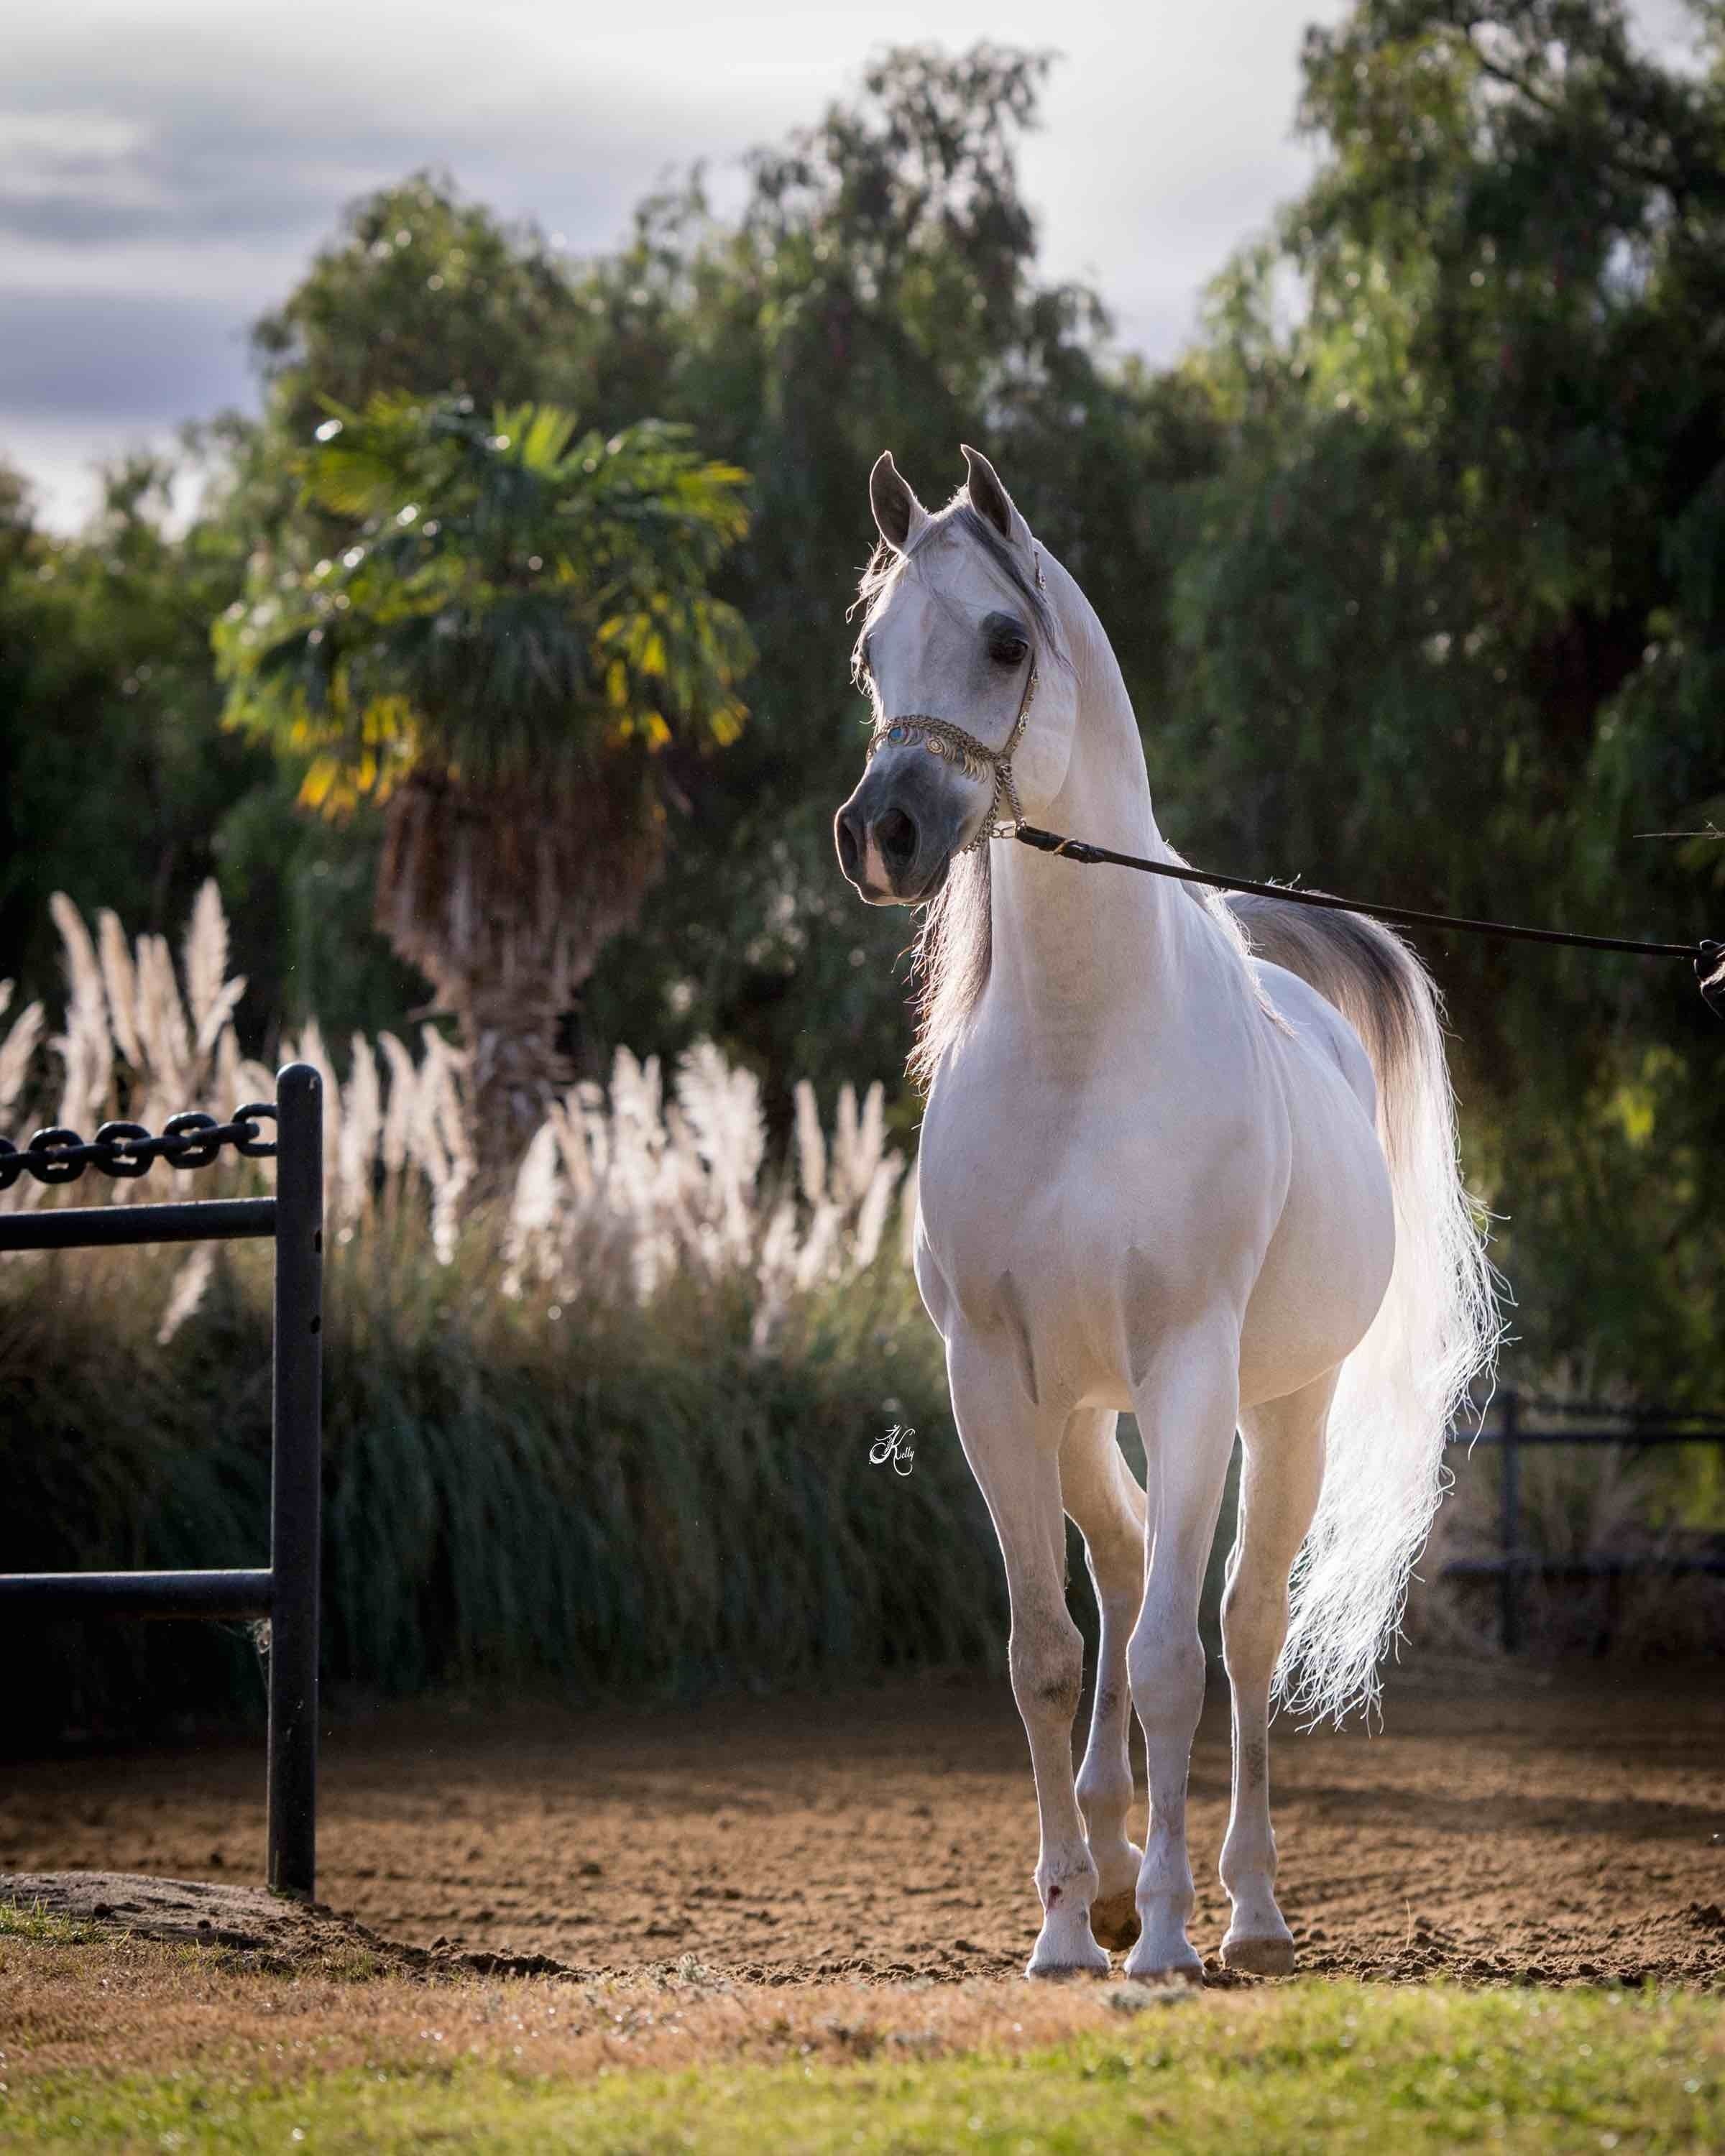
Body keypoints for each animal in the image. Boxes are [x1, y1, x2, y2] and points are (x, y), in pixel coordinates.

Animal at [841, 446, 1492, 1975]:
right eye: (870, 652)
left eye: (1004, 641)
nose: (882, 835)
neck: (1086, 1051)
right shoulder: (993, 1380)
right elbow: (1046, 1651)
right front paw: (1067, 1935)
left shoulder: (1192, 1373)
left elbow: (1176, 1663)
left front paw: (1165, 1949)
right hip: (1085, 1410)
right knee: (1133, 1564)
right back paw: (1117, 1868)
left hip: (1281, 1411)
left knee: (1242, 1628)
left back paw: (1245, 1911)